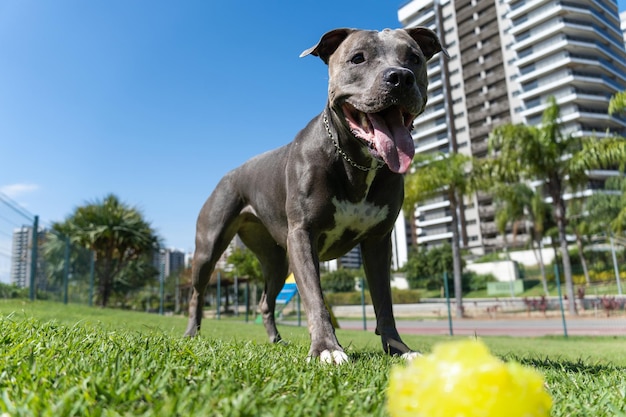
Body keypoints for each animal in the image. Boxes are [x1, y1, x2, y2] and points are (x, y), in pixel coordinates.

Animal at [183, 27, 446, 362]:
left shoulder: (378, 243)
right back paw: (191, 333)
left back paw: (276, 341)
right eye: (357, 58)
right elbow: (314, 299)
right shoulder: (303, 234)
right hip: (208, 247)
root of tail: (229, 174)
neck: (356, 162)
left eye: (414, 58)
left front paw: (398, 349)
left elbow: (384, 302)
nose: (400, 77)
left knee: (265, 301)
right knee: (197, 293)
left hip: (276, 261)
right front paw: (326, 349)